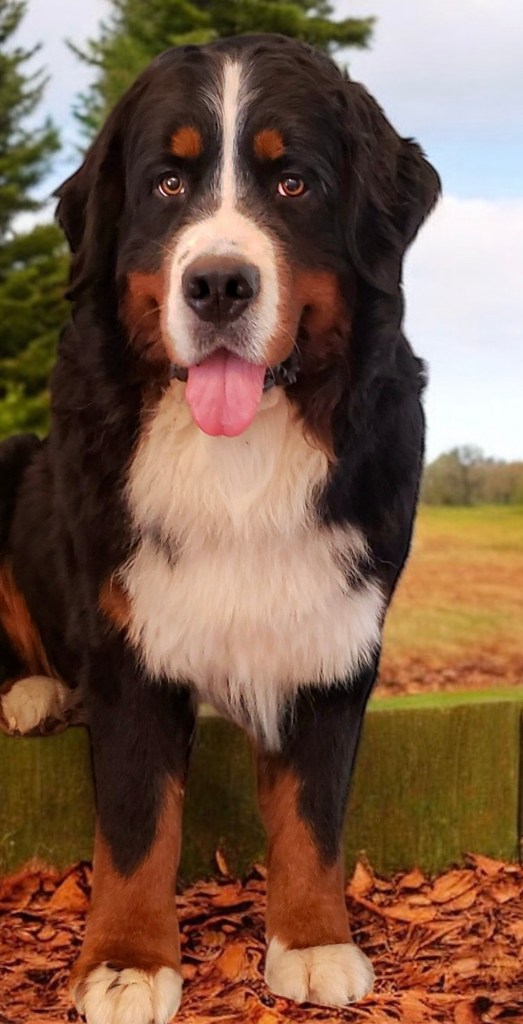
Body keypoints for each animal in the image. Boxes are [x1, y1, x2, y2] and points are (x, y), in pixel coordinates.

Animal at [0, 34, 440, 1022]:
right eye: (167, 183)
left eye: (293, 184)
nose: (218, 284)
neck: (236, 456)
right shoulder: (129, 641)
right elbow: (136, 824)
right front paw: (125, 964)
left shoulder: (334, 634)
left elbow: (313, 812)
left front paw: (313, 943)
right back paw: (35, 695)